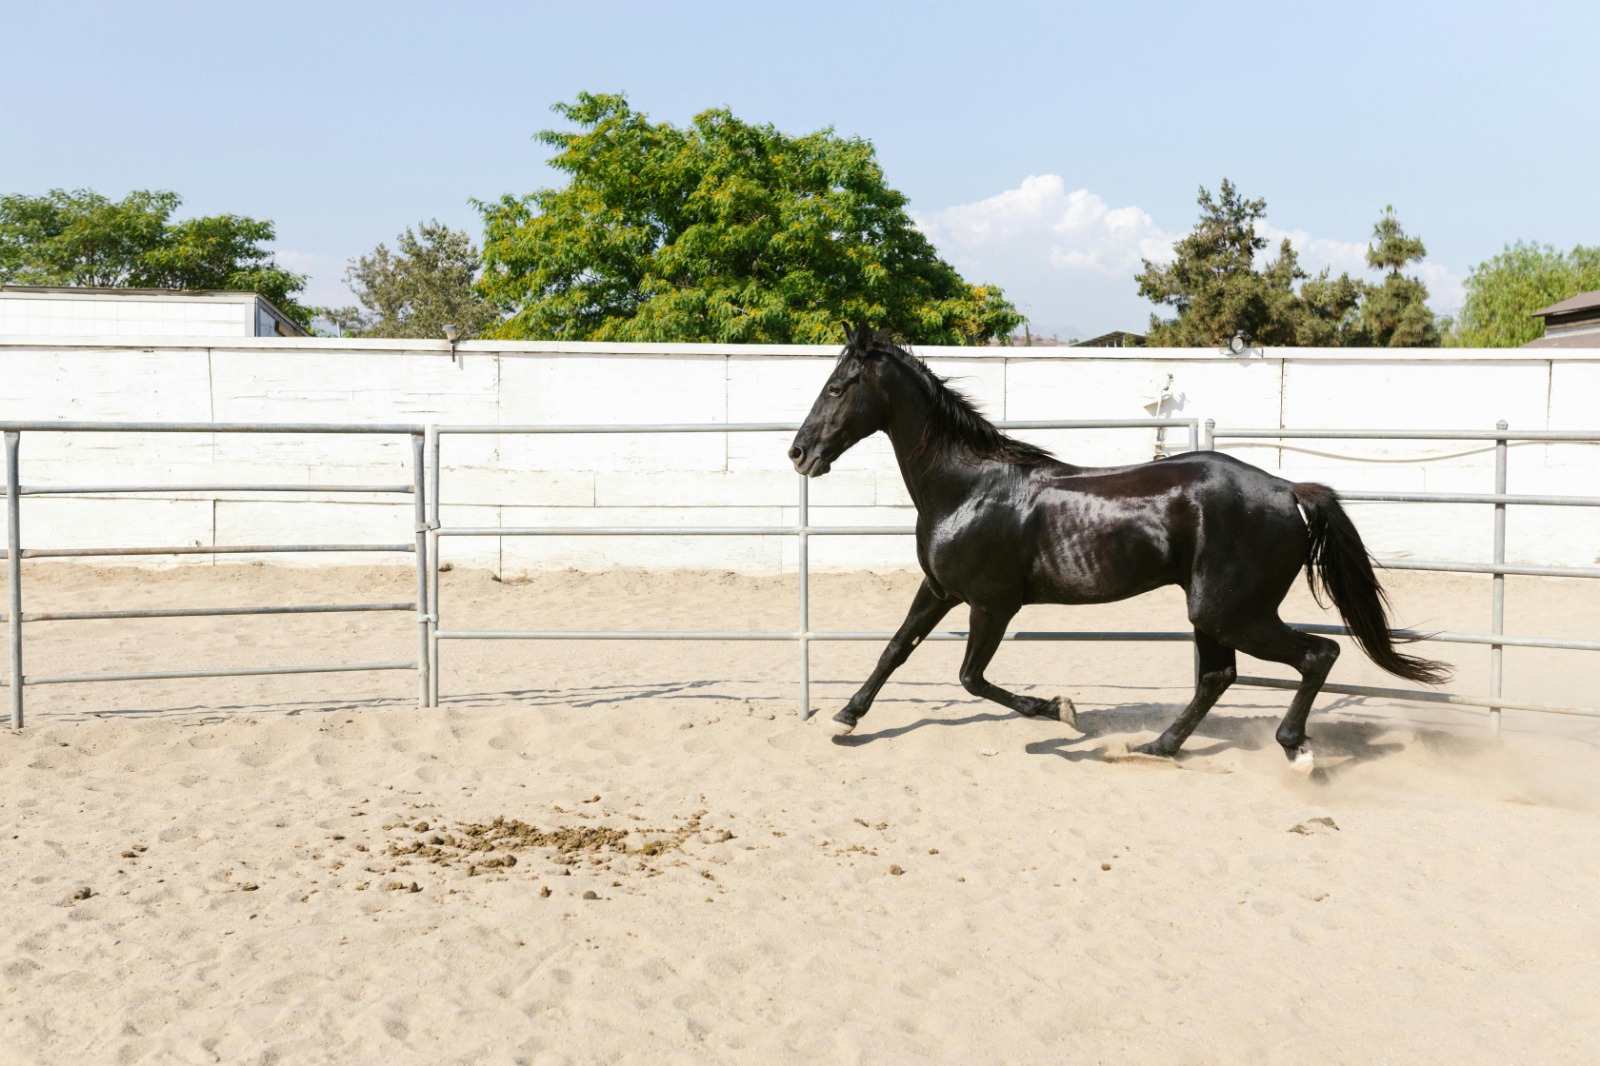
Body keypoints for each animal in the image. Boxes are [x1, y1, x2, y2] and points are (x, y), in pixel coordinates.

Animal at [787, 328, 1452, 768]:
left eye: (839, 386)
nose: (799, 453)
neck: (968, 489)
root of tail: (1291, 491)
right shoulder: (940, 589)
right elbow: (895, 649)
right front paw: (847, 718)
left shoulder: (992, 605)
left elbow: (971, 677)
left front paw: (1060, 710)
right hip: (1213, 613)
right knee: (1220, 676)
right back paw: (1156, 746)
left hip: (1231, 611)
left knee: (1316, 655)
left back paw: (1294, 752)